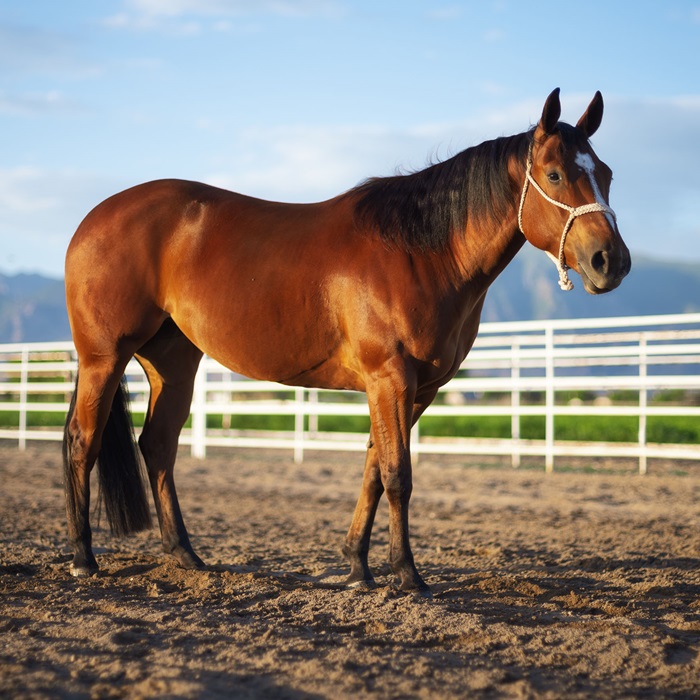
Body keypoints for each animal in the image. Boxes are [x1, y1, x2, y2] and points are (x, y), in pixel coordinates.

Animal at [61, 86, 628, 592]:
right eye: (555, 174)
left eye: (605, 174)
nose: (611, 261)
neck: (421, 252)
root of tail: (92, 220)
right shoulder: (389, 378)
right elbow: (398, 473)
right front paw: (407, 575)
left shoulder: (417, 389)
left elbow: (374, 468)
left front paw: (357, 567)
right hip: (104, 357)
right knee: (83, 441)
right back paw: (84, 559)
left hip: (173, 362)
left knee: (158, 445)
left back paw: (185, 555)